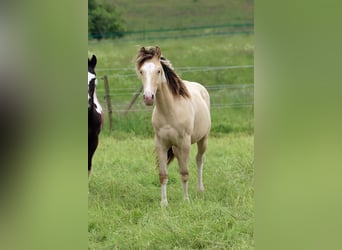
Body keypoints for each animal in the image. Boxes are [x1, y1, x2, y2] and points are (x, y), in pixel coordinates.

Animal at [136, 46, 211, 206]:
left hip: (203, 140)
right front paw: (164, 203)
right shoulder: (161, 144)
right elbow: (163, 175)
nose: (148, 98)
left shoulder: (185, 143)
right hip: (176, 147)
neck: (170, 110)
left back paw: (200, 189)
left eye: (158, 71)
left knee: (199, 160)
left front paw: (186, 200)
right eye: (141, 71)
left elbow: (185, 173)